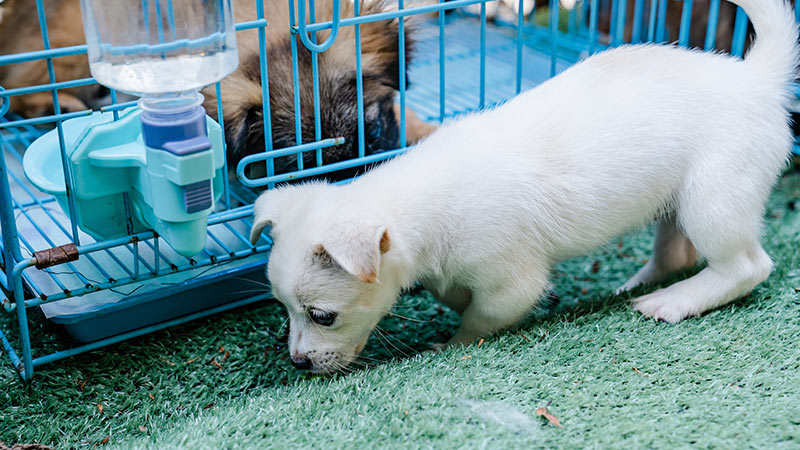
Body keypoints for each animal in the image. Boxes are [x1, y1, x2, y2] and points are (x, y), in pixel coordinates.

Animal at [250, 0, 800, 372]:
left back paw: (674, 301)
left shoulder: (511, 284)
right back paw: (643, 285)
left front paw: (450, 345)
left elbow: (478, 318)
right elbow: (453, 292)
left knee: (747, 266)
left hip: (714, 203)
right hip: (677, 205)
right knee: (677, 254)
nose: (297, 364)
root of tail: (757, 80)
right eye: (283, 310)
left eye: (323, 316)